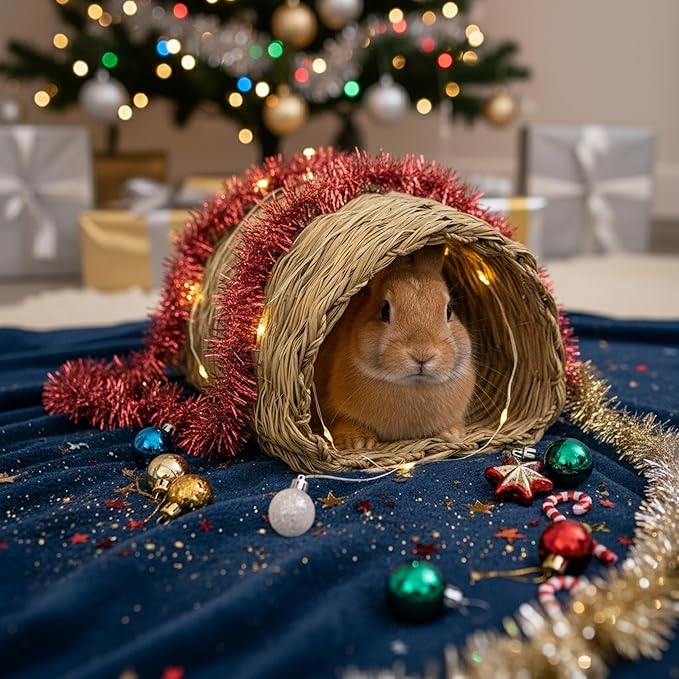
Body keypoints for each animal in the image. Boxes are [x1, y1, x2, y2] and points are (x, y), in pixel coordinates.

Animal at [314, 246, 475, 450]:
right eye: (385, 310)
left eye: (449, 311)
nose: (422, 354)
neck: (414, 385)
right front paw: (359, 443)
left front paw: (453, 433)